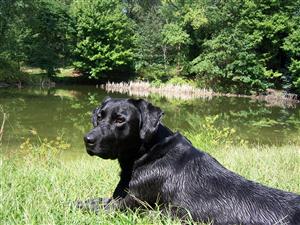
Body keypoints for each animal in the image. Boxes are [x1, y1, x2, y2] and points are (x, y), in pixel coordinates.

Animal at [79, 97, 300, 225]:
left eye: (120, 120)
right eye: (99, 117)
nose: (87, 139)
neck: (149, 153)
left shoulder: (125, 205)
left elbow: (86, 206)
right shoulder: (116, 199)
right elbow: (89, 201)